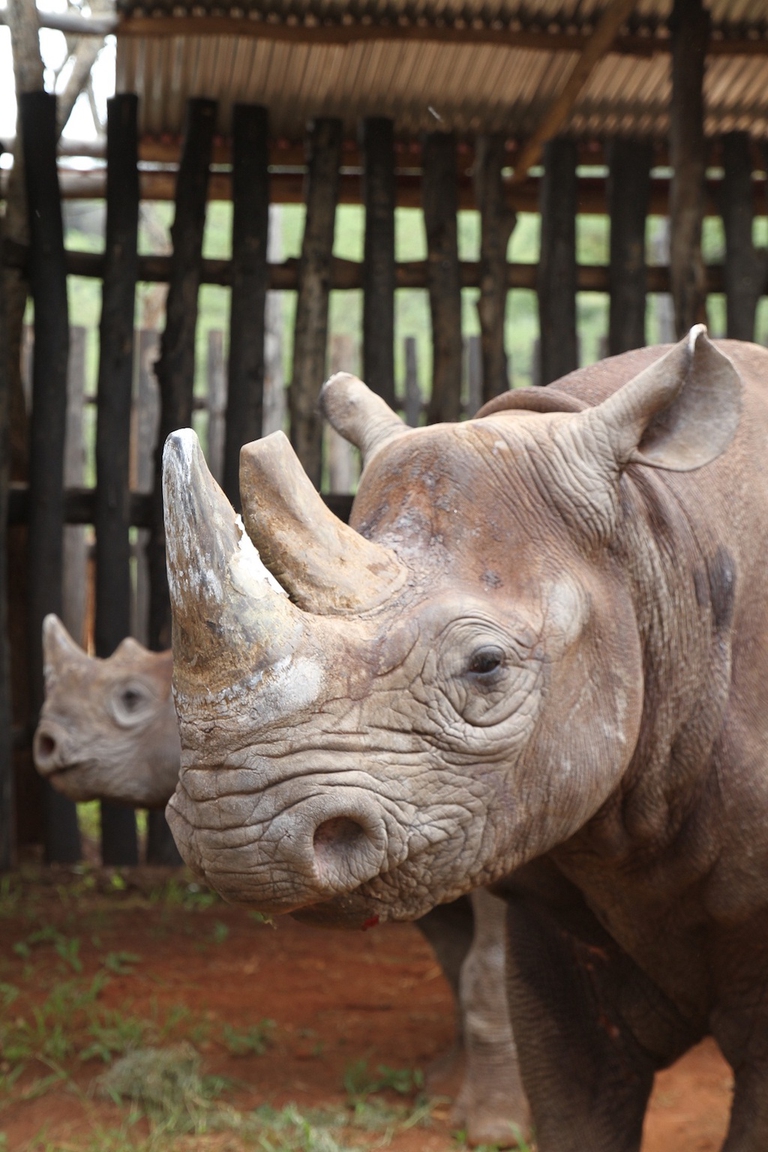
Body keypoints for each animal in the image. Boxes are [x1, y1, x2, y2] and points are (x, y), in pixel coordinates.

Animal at [33, 614, 527, 1147]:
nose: (46, 745)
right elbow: (454, 958)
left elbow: (487, 965)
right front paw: (441, 1086)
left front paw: (494, 1128)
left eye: (130, 698)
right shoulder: (419, 845)